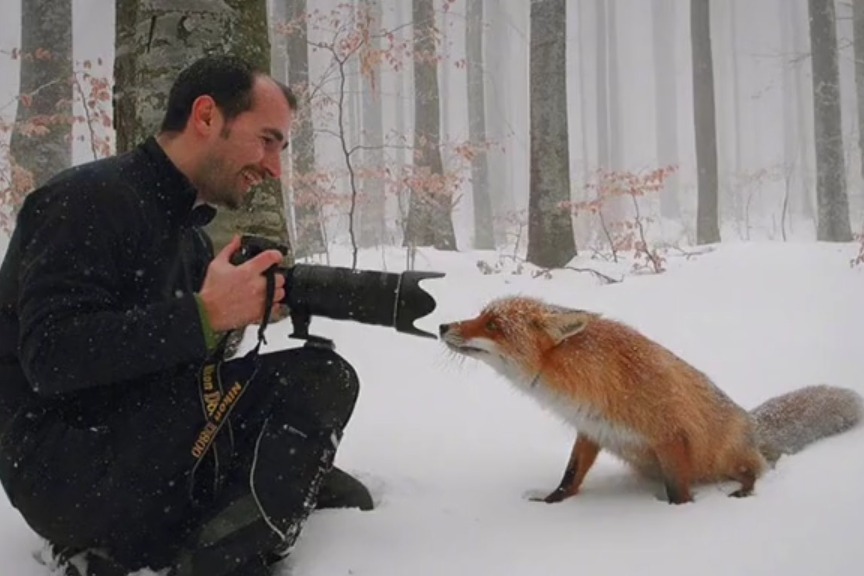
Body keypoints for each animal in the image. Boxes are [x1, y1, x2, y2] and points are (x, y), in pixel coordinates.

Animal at [438, 296, 864, 504]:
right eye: (479, 315)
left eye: (494, 325)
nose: (442, 325)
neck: (589, 380)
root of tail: (752, 422)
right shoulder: (590, 429)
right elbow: (570, 476)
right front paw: (551, 503)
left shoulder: (670, 436)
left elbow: (679, 493)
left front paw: (677, 517)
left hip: (728, 456)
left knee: (757, 470)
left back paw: (744, 491)